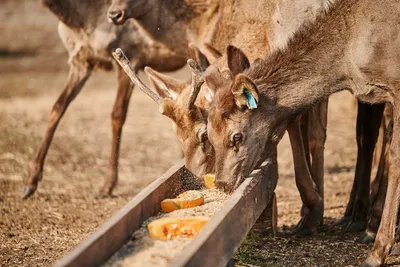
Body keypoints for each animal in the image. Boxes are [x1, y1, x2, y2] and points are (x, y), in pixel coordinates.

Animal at [20, 0, 191, 200]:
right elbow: (57, 108)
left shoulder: (131, 57)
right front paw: (30, 182)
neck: (79, 21)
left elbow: (117, 116)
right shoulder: (80, 61)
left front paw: (107, 185)